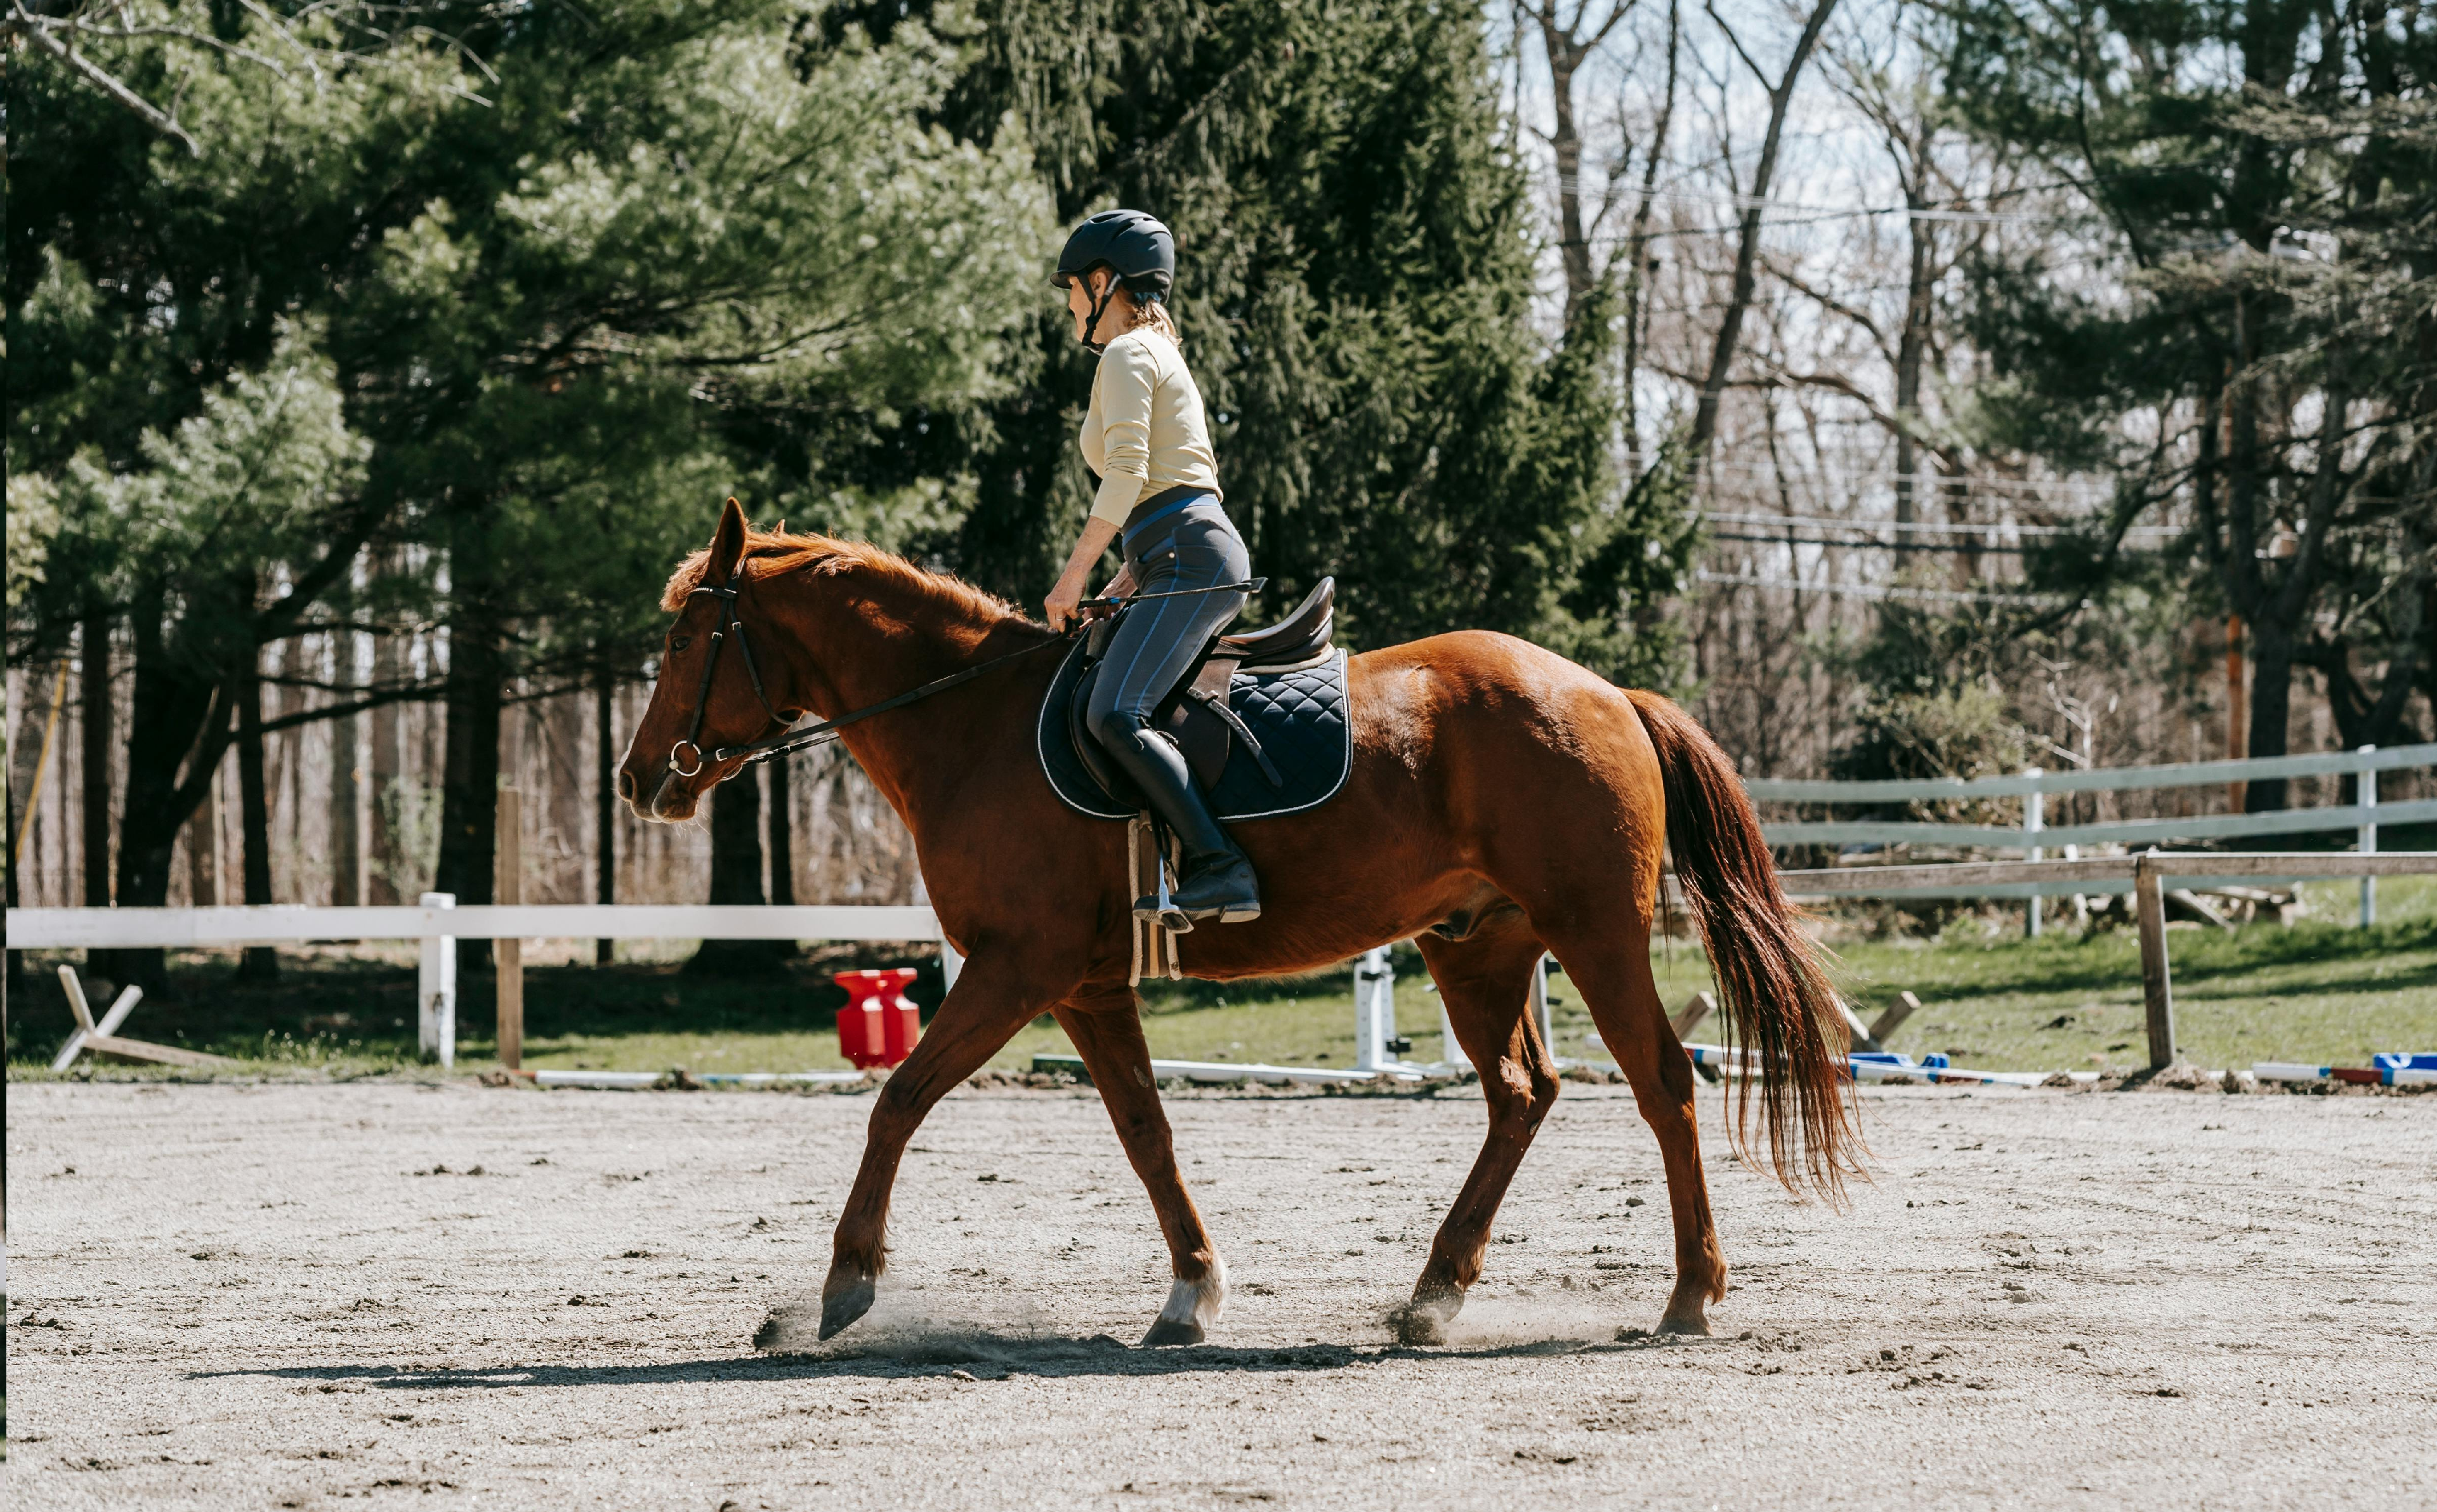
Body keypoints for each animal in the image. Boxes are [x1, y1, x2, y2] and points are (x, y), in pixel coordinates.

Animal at [624, 499, 1842, 1346]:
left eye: (685, 642)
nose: (641, 779)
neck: (970, 723)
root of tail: (1603, 690)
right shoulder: (1084, 985)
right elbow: (1146, 1131)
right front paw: (1191, 1290)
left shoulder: (1018, 968)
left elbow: (898, 1099)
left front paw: (844, 1284)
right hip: (1478, 944)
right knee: (1520, 1093)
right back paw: (1434, 1292)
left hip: (1592, 930)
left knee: (1661, 1082)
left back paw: (1689, 1294)